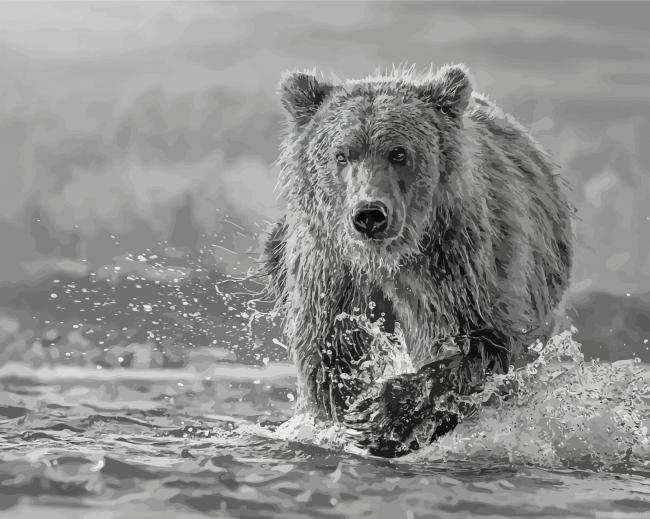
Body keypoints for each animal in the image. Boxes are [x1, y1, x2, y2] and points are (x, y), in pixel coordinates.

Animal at [261, 64, 573, 457]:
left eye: (398, 153)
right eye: (341, 155)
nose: (369, 214)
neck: (385, 260)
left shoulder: (458, 267)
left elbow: (485, 345)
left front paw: (383, 418)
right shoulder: (331, 272)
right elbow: (330, 352)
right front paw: (349, 412)